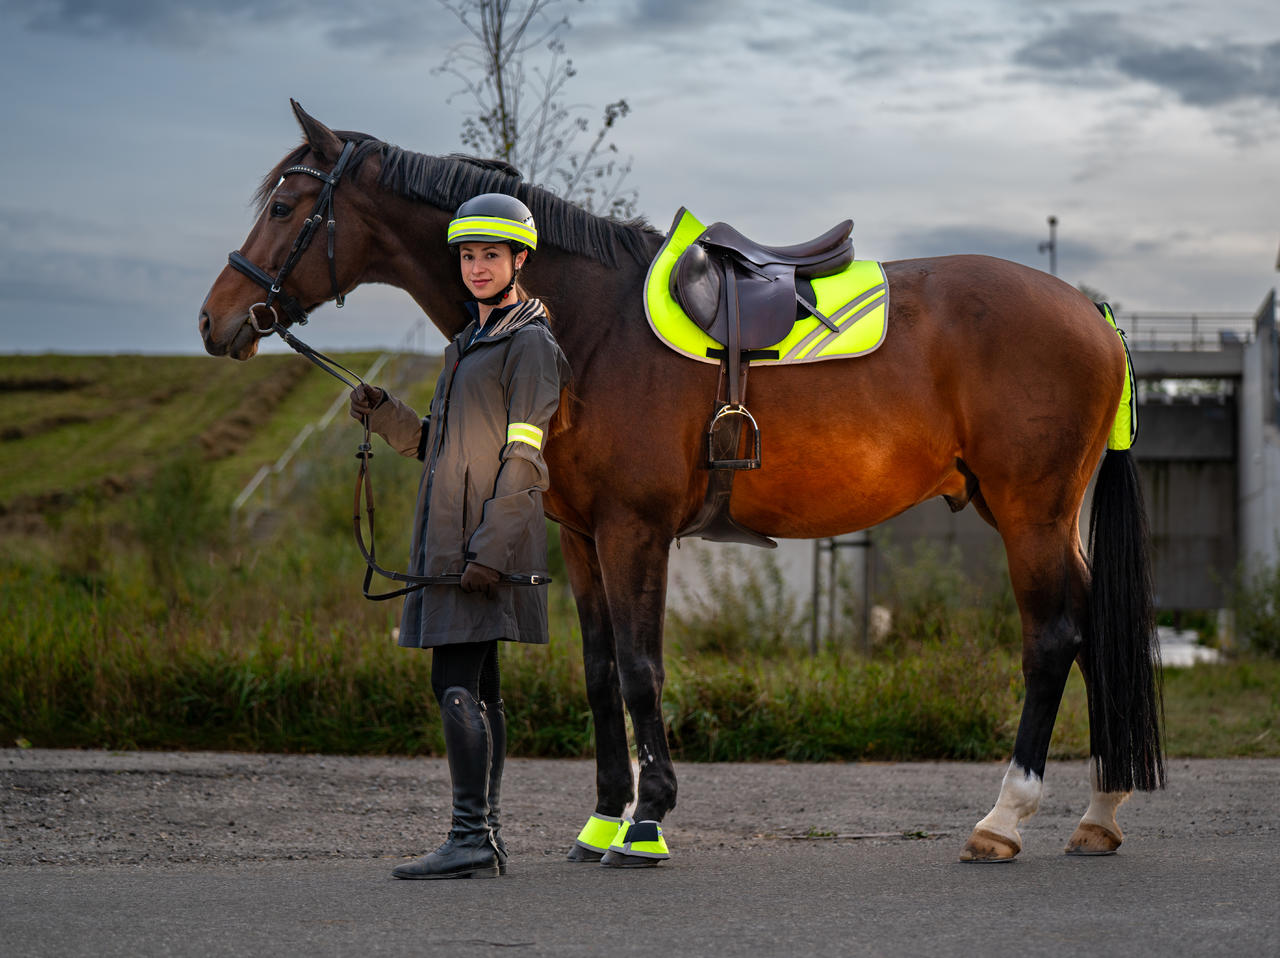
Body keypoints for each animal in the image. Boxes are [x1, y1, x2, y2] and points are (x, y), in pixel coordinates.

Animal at [197, 101, 1162, 865]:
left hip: (1031, 513)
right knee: (1093, 629)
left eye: (284, 204)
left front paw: (647, 821)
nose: (214, 321)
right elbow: (596, 672)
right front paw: (600, 821)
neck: (588, 322)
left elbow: (639, 668)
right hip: (1031, 513)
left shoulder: (637, 529)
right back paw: (1100, 811)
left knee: (1052, 638)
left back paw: (1005, 818)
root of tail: (1093, 313)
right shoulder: (580, 536)